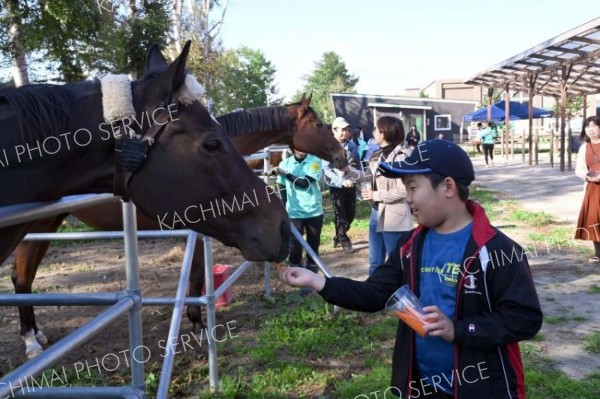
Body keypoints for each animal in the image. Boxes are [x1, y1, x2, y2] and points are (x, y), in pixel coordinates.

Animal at [0, 41, 290, 360]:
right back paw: (30, 340)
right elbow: (196, 276)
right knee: (21, 277)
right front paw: (197, 322)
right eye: (212, 143)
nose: (284, 227)